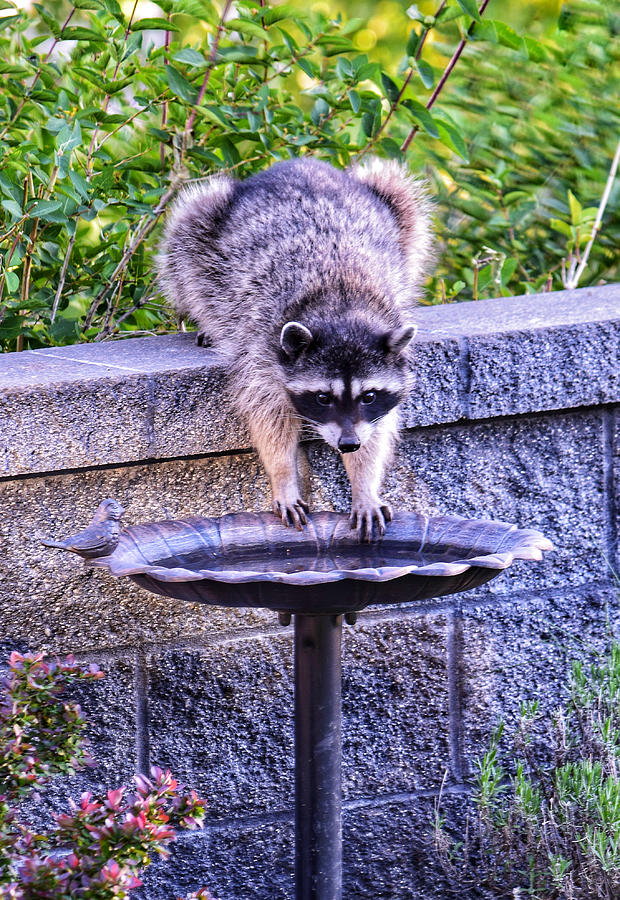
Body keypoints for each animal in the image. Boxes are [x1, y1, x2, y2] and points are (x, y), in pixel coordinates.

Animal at [157, 156, 434, 536]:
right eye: (322, 398)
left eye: (369, 395)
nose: (348, 444)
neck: (341, 308)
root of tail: (298, 163)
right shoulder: (261, 347)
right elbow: (269, 418)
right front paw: (283, 475)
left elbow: (378, 430)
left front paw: (364, 483)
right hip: (206, 222)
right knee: (188, 249)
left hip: (391, 199)